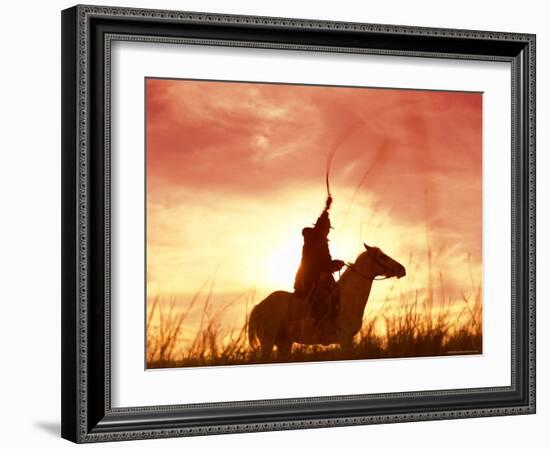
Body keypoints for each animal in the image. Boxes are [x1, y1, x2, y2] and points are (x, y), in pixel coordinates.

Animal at [248, 243, 408, 358]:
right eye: (382, 256)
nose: (402, 269)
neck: (348, 298)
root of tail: (258, 307)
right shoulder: (344, 339)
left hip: (284, 343)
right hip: (268, 342)